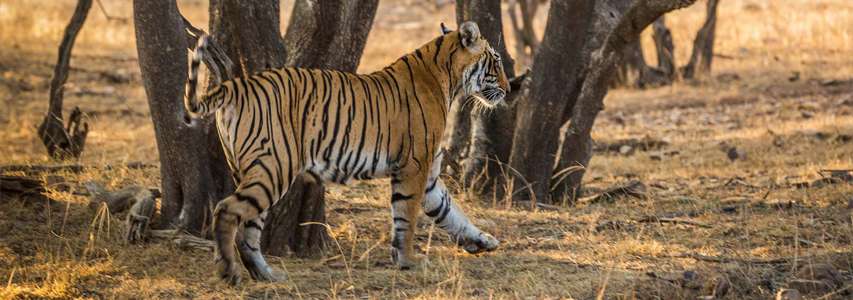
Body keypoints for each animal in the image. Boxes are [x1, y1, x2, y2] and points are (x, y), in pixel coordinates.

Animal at [183, 21, 510, 284]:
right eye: (495, 62)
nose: (508, 89)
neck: (447, 78)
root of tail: (236, 84)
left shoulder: (428, 175)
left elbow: (451, 211)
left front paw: (483, 241)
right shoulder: (414, 166)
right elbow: (407, 217)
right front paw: (408, 261)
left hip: (254, 169)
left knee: (248, 230)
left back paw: (266, 275)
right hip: (273, 167)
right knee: (227, 211)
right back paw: (229, 272)